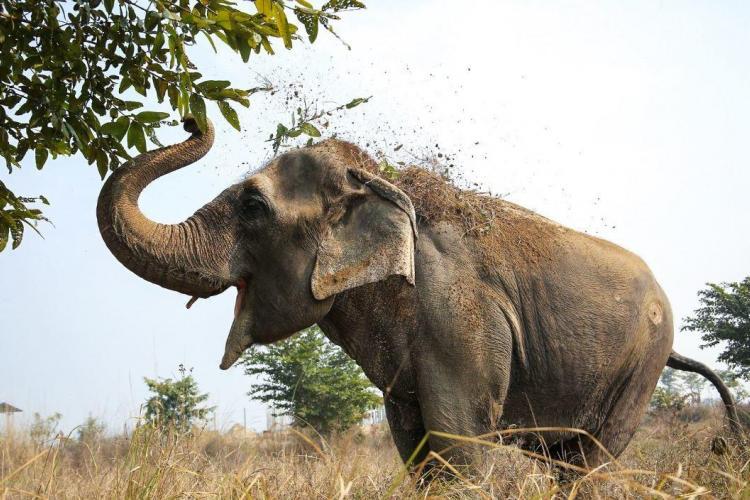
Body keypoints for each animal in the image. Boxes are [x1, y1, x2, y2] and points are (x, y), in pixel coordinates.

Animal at [97, 117, 739, 471]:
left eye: (253, 206)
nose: (190, 116)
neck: (379, 183)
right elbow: (415, 447)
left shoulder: (461, 316)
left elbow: (459, 443)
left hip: (639, 369)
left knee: (587, 465)